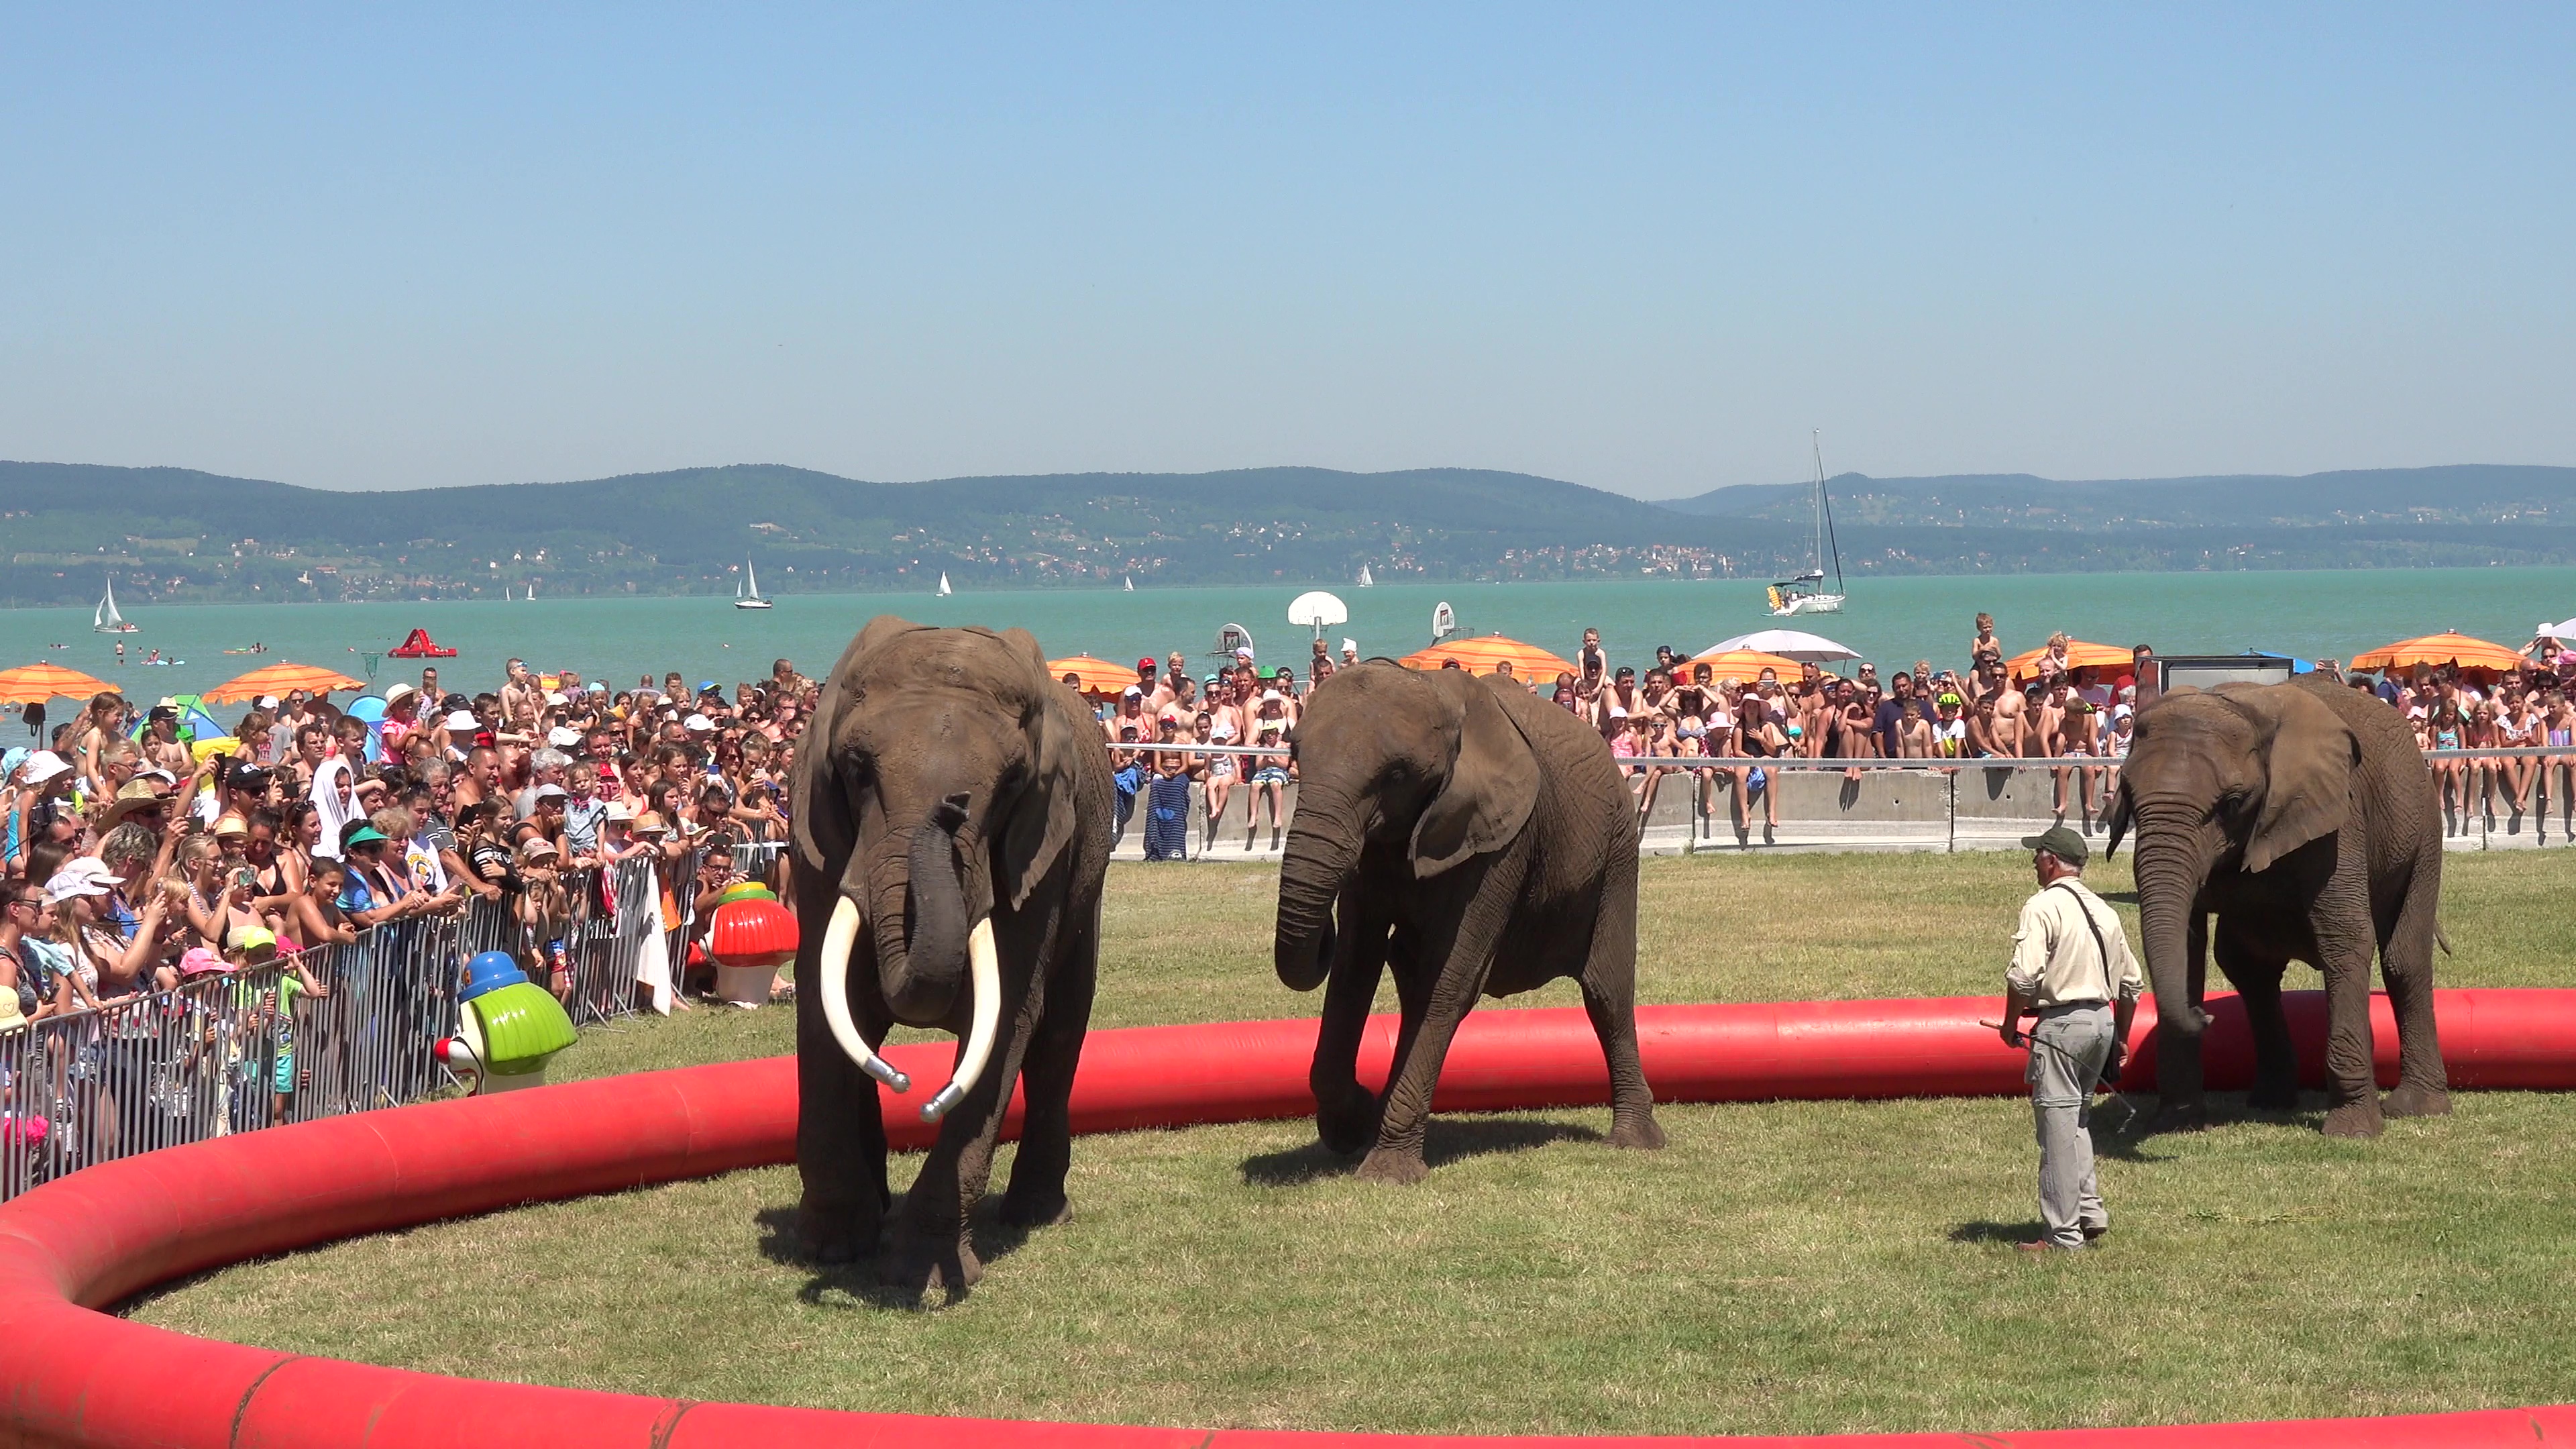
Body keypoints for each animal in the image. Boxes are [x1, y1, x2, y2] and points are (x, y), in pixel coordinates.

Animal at [1272, 659, 1669, 1181]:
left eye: (1396, 774)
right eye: (1295, 755)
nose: (1324, 936)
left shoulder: (1503, 842)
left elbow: (1452, 981)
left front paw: (1386, 1171)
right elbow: (1355, 968)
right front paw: (1353, 1123)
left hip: (1619, 846)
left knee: (1606, 991)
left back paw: (1635, 1142)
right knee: (1411, 984)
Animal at [2102, 670, 2442, 1134]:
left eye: (2231, 804)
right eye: (2129, 796)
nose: (2205, 1018)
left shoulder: (2340, 822)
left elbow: (2346, 940)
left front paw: (2352, 1132)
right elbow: (2187, 947)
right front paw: (2177, 1121)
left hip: (2425, 826)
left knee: (2404, 960)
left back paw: (2416, 1107)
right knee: (2249, 967)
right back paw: (2270, 1102)